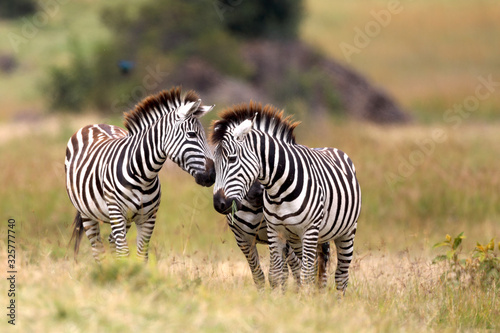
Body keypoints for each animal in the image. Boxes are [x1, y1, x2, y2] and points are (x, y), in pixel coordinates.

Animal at [65, 86, 214, 262]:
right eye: (191, 134)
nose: (212, 175)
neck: (143, 176)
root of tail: (95, 124)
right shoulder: (117, 212)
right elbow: (124, 252)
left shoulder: (148, 218)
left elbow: (141, 256)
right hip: (87, 213)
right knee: (98, 249)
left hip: (126, 219)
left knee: (111, 243)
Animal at [210, 102, 360, 292]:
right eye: (213, 163)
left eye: (232, 159)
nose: (219, 204)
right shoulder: (245, 239)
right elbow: (263, 275)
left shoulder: (295, 235)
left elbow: (293, 272)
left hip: (345, 231)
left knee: (333, 273)